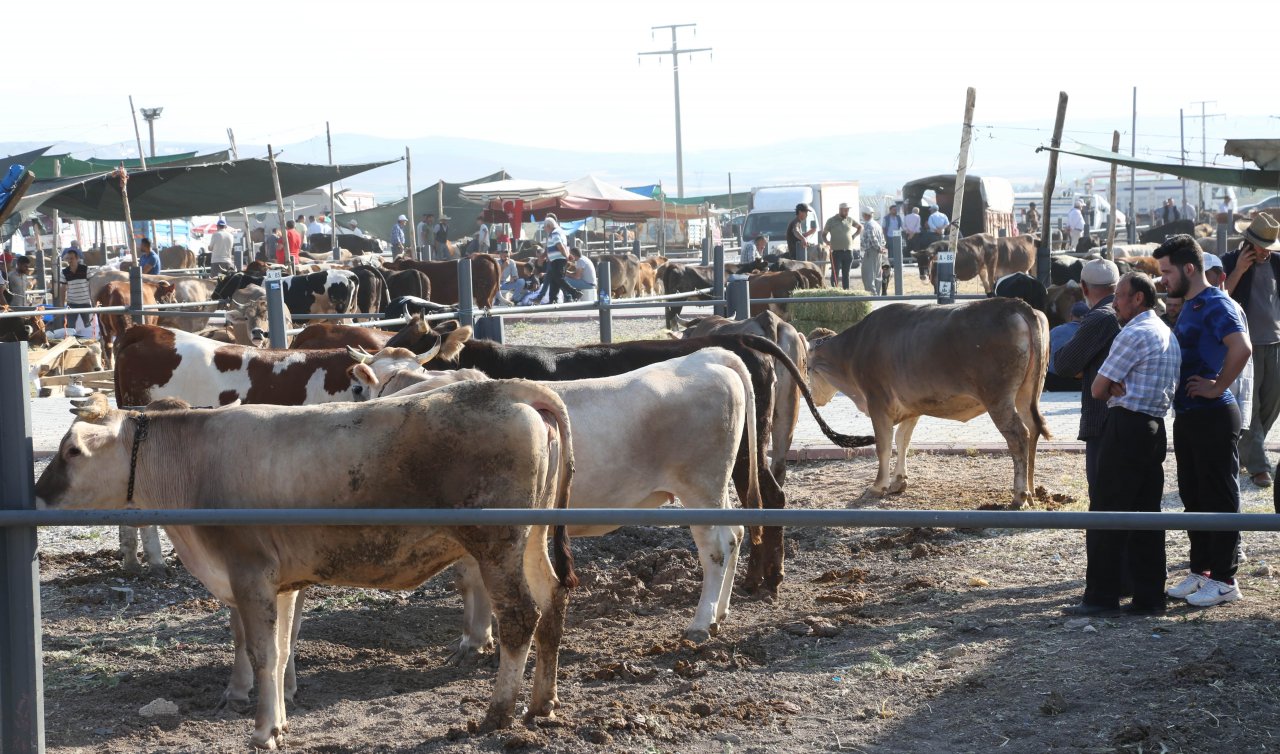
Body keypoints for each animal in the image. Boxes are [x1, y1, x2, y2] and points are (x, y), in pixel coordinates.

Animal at [35, 384, 576, 747]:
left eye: (72, 450)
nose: (38, 495)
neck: (192, 463)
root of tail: (503, 388)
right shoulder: (281, 581)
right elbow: (280, 649)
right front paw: (276, 720)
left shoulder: (250, 572)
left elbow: (263, 653)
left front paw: (261, 732)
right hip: (531, 538)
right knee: (553, 598)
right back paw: (541, 704)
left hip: (497, 544)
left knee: (520, 615)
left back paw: (497, 714)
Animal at [384, 317, 870, 593]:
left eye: (419, 359)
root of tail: (742, 339)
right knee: (767, 497)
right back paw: (767, 575)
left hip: (741, 454)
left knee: (765, 498)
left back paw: (760, 578)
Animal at [808, 295, 1049, 506]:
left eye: (807, 367)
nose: (814, 398)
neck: (854, 349)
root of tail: (1014, 304)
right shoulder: (911, 405)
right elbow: (902, 440)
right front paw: (898, 481)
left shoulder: (878, 401)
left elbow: (884, 445)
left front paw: (877, 486)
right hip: (1027, 393)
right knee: (1033, 428)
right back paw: (1032, 492)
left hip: (998, 397)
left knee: (1018, 435)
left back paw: (1019, 496)